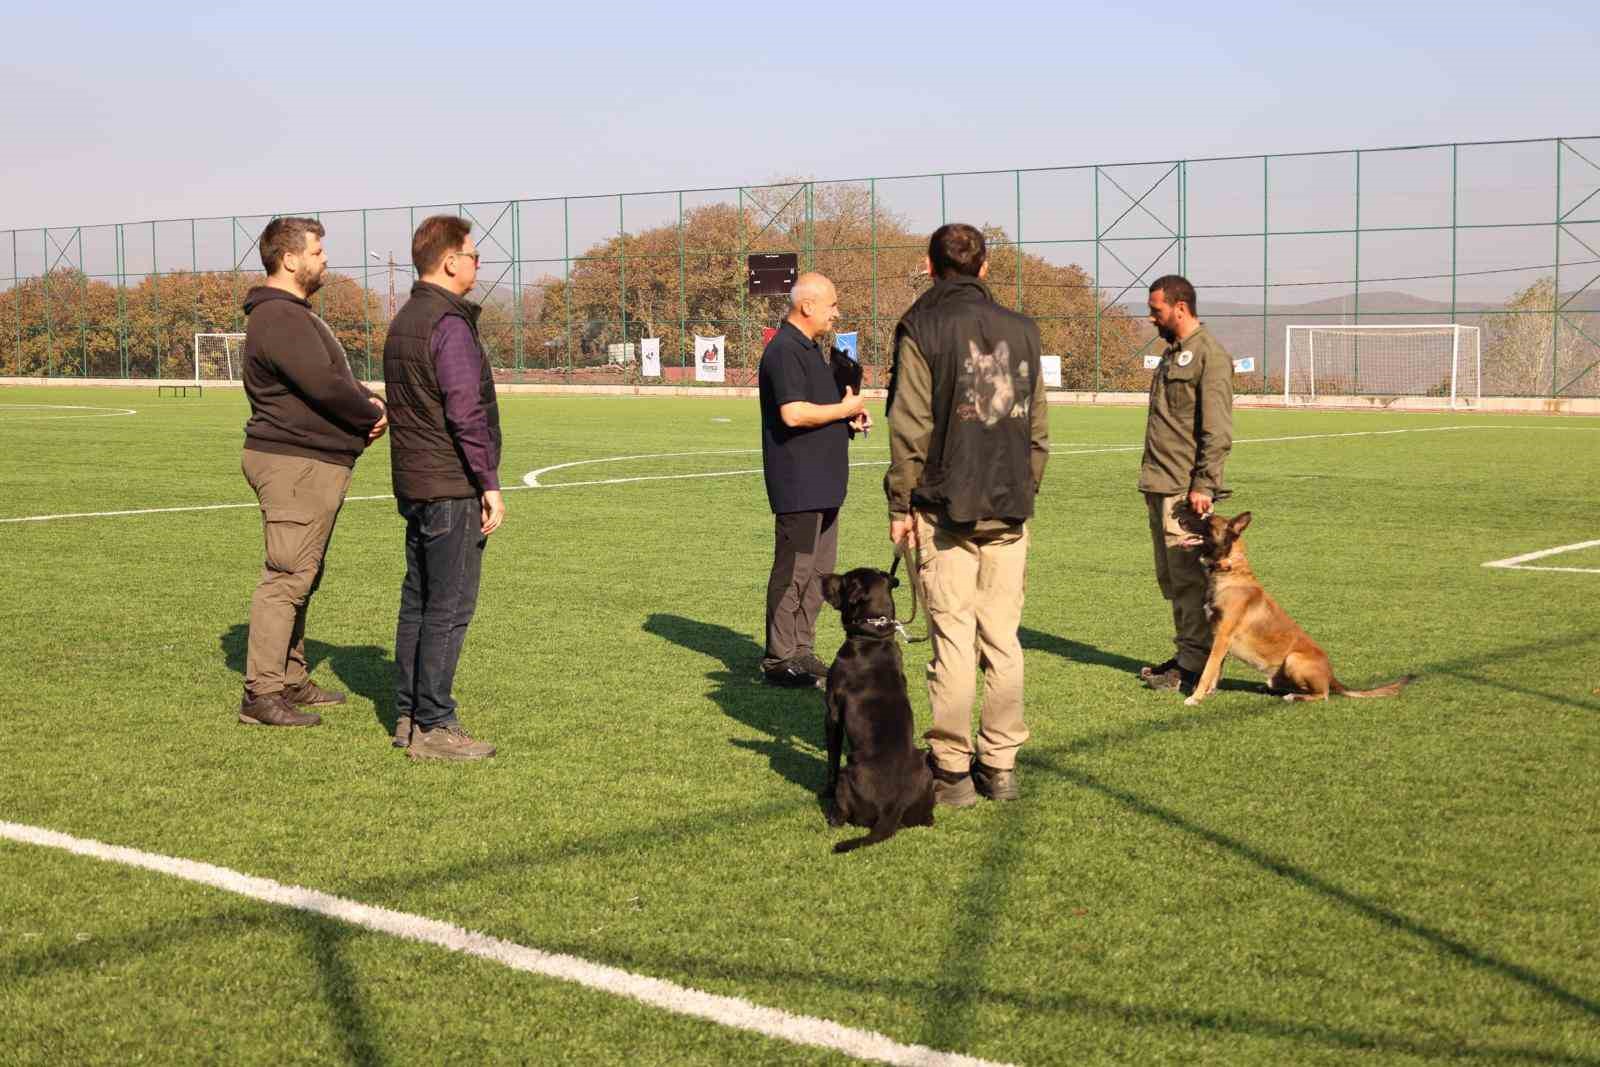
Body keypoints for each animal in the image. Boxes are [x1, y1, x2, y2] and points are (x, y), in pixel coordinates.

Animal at [819, 563, 934, 857]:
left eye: (844, 580)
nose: (821, 575)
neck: (873, 636)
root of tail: (892, 809)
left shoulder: (832, 713)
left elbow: (831, 758)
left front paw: (824, 790)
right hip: (925, 765)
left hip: (848, 773)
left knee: (841, 810)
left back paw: (832, 816)